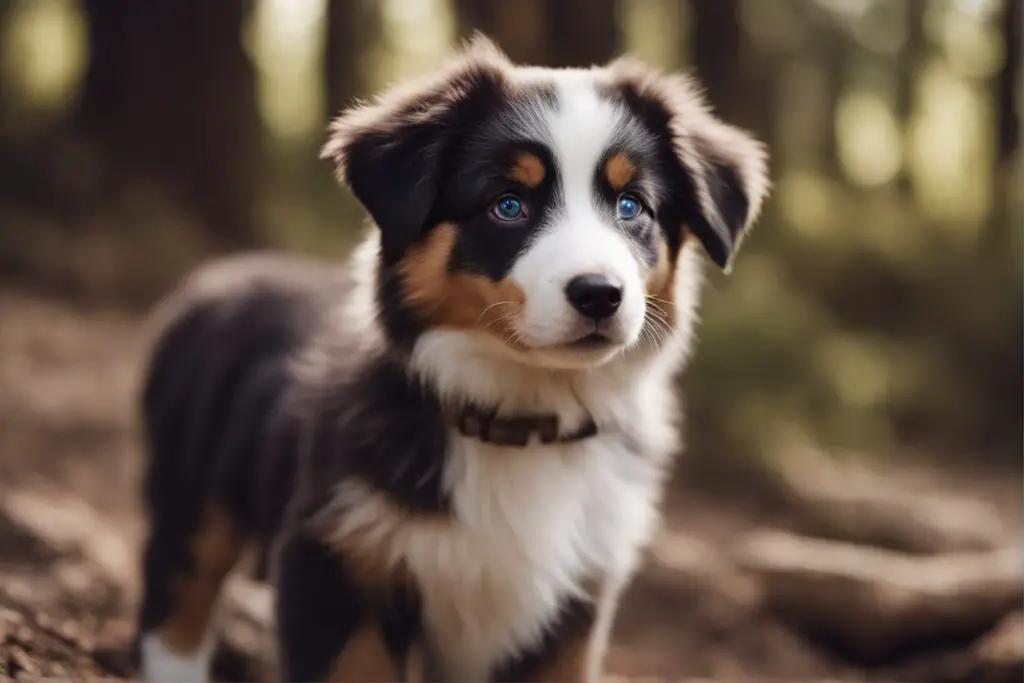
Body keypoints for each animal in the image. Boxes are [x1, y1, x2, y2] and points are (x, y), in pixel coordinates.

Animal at [136, 36, 770, 683]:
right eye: (508, 205)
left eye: (631, 206)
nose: (600, 294)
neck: (520, 419)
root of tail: (220, 273)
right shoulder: (339, 559)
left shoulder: (574, 605)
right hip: (191, 482)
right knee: (177, 592)